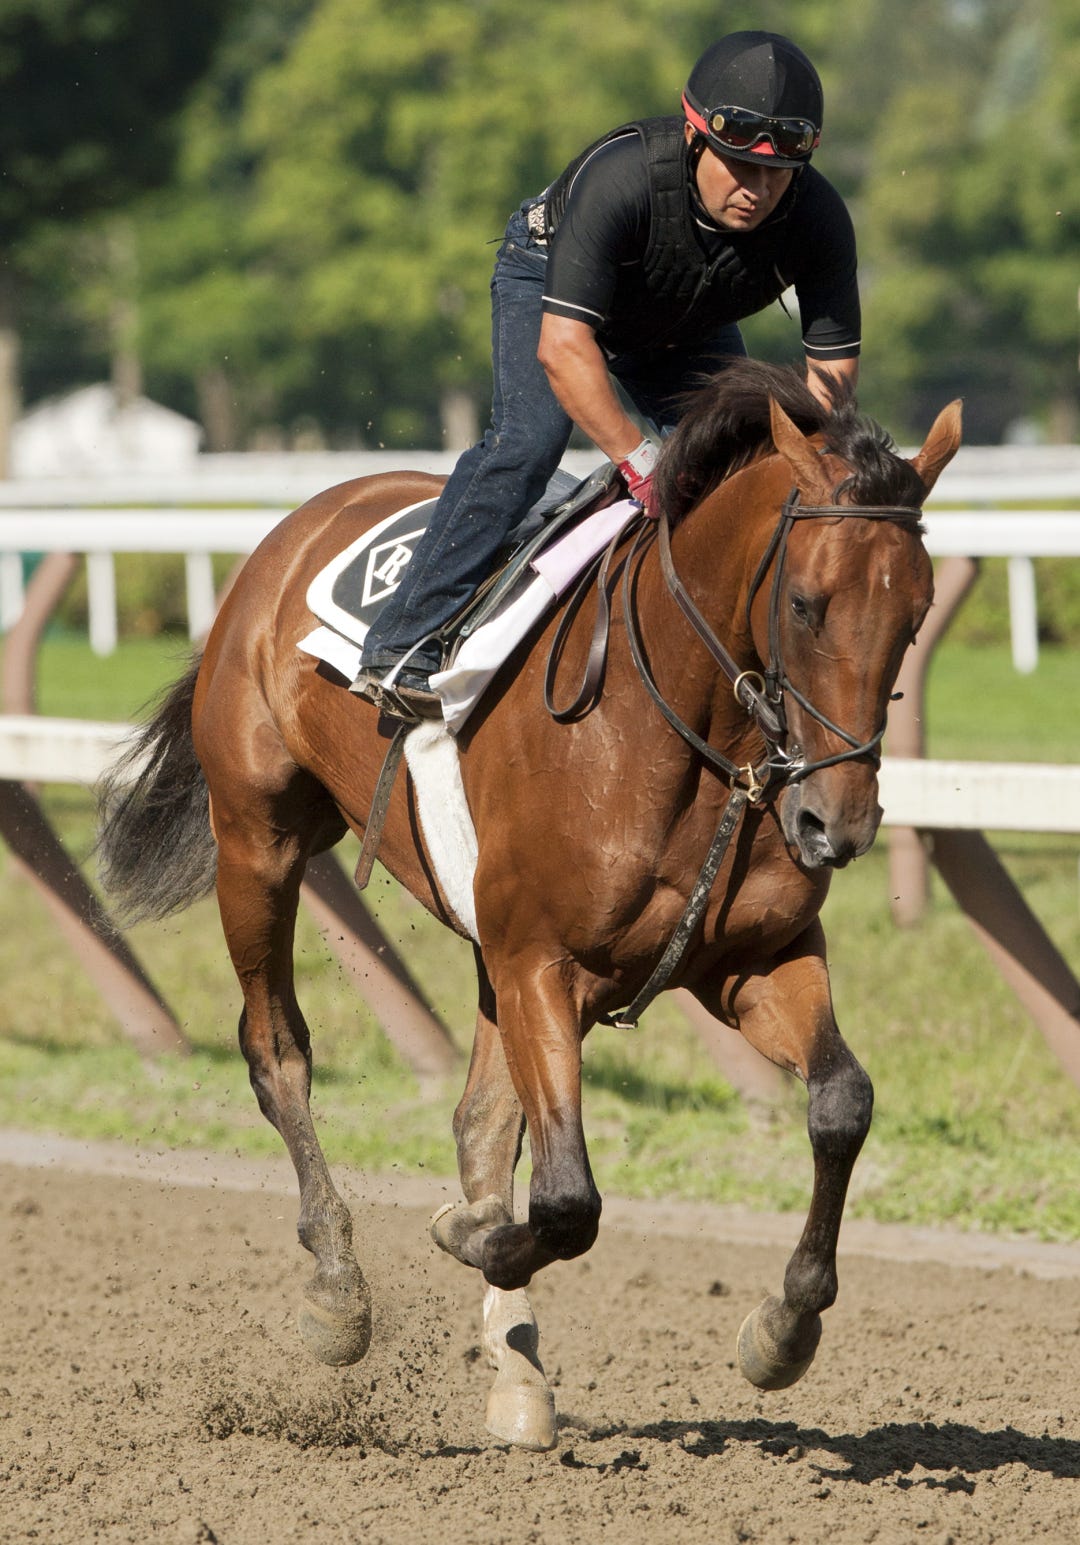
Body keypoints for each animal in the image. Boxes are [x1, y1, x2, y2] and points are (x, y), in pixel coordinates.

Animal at [97, 359, 961, 1452]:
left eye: (917, 612)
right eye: (805, 604)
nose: (834, 823)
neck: (685, 732)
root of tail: (300, 523)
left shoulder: (747, 958)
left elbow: (842, 1102)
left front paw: (784, 1326)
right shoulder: (540, 960)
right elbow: (564, 1201)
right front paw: (471, 1234)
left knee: (479, 1117)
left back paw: (518, 1377)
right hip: (257, 840)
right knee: (277, 1050)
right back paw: (338, 1288)